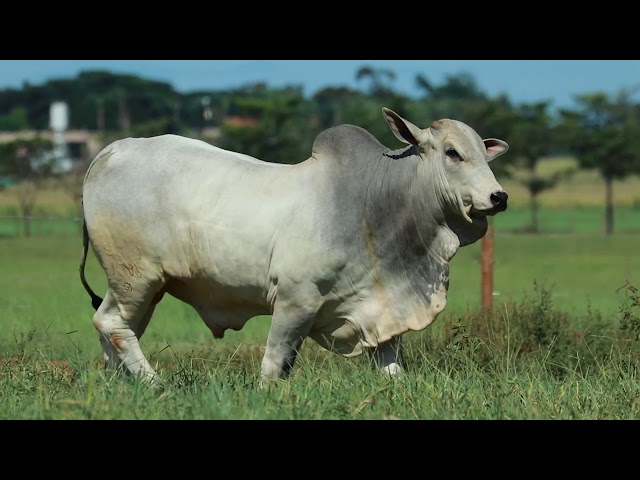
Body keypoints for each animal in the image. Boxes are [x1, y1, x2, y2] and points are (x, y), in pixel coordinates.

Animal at [81, 109, 510, 386]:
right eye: (453, 153)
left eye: (482, 153)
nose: (499, 196)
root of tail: (111, 151)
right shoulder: (295, 301)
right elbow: (274, 365)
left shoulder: (381, 309)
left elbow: (393, 372)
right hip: (134, 277)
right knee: (110, 324)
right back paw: (156, 386)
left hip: (144, 288)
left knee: (118, 330)